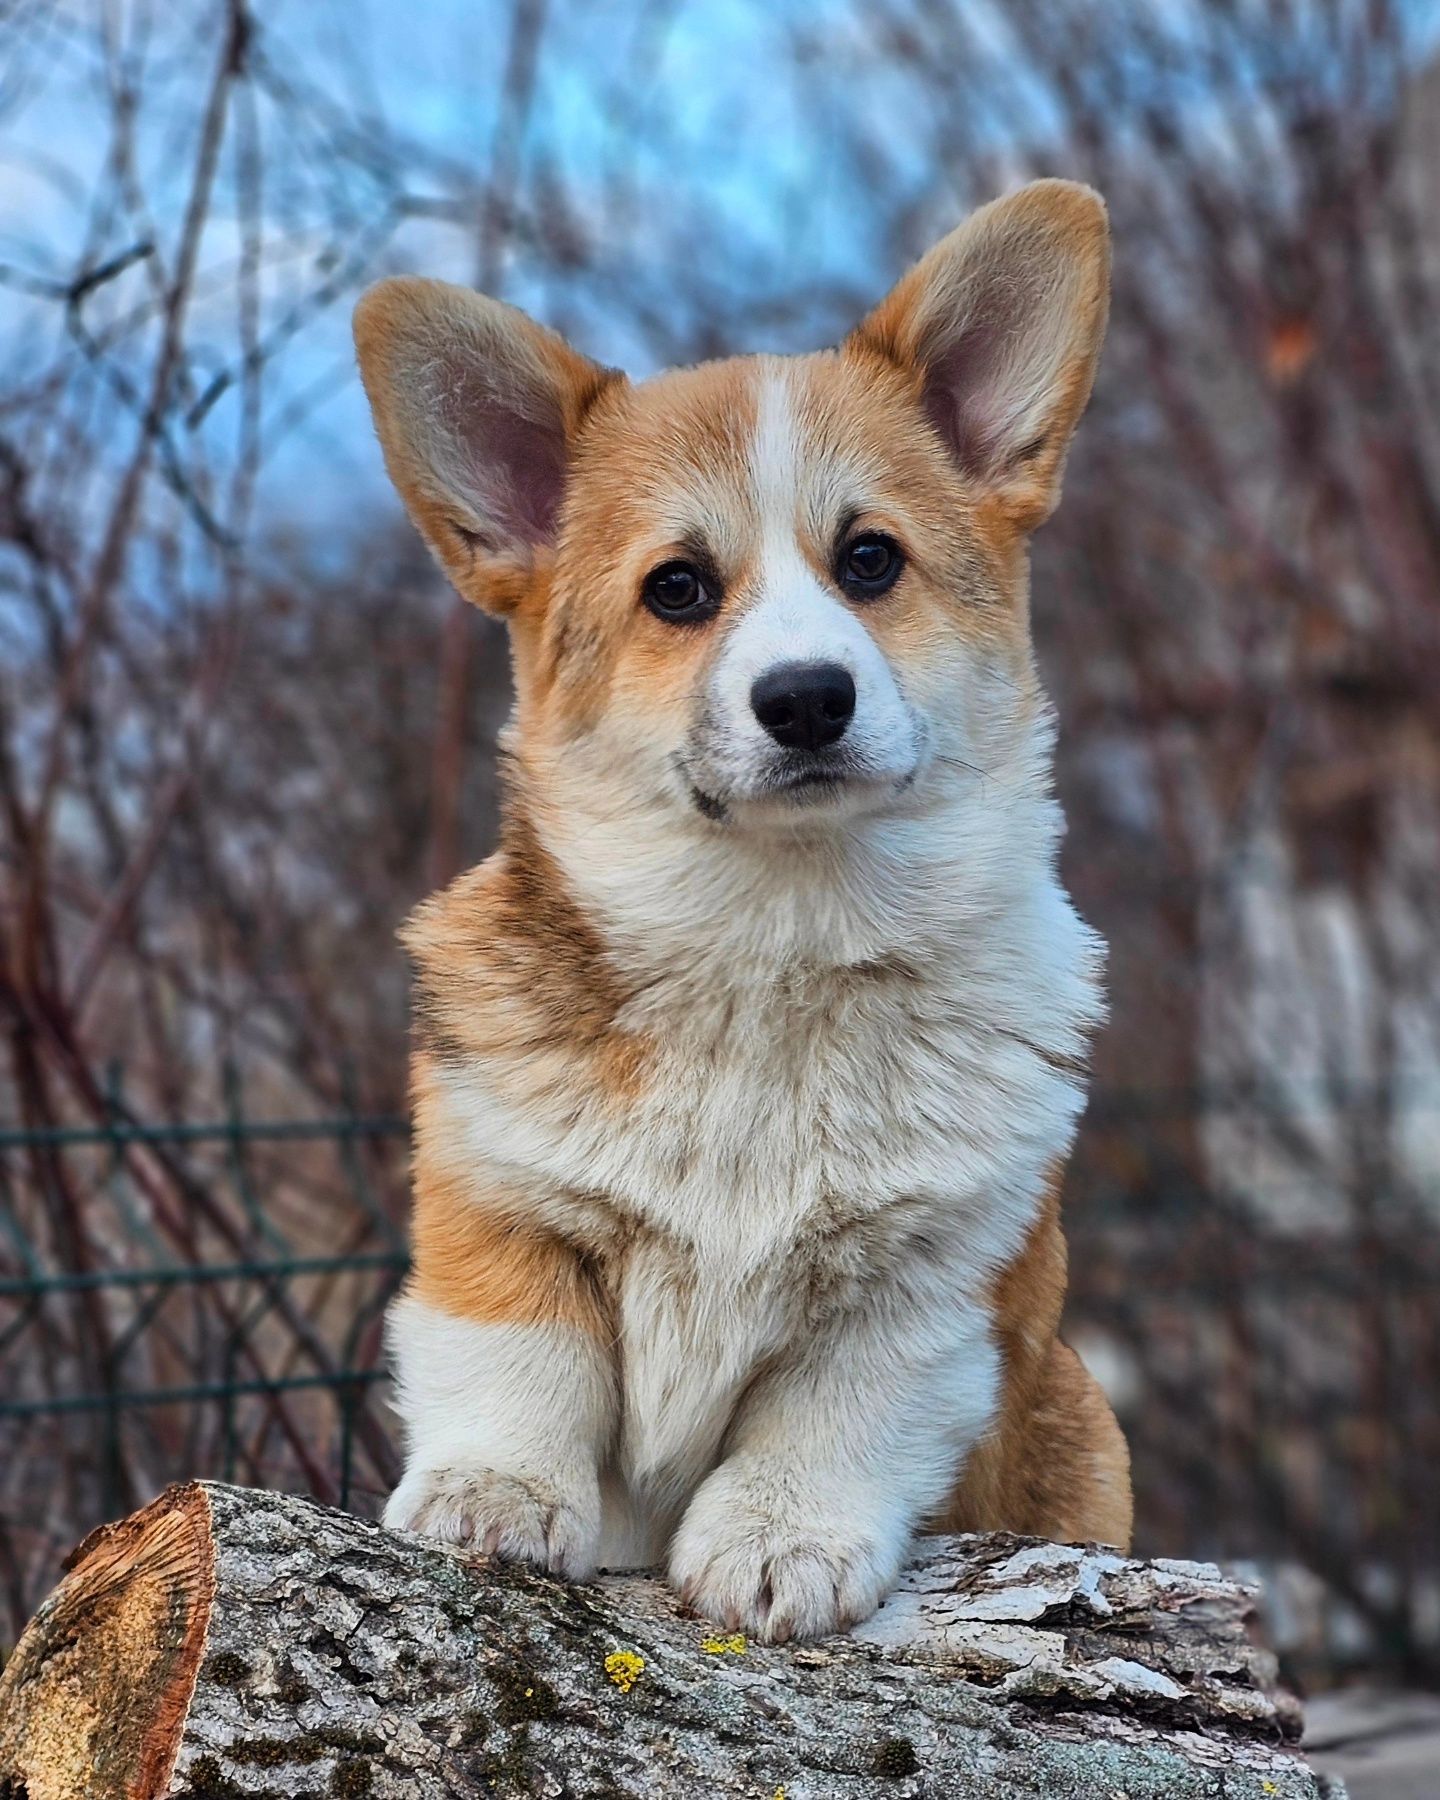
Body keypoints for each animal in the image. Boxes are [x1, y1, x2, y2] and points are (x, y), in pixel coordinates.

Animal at [354, 179, 1130, 1648]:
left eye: (871, 560)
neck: (778, 941)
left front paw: (780, 1544)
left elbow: (827, 1418)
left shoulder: (925, 1287)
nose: (809, 698)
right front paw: (493, 1496)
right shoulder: (498, 1202)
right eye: (678, 589)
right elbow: (517, 1357)